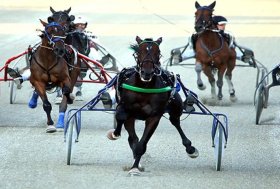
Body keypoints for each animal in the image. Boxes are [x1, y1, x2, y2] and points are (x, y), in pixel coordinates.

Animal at [106, 36, 199, 176]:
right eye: (139, 52)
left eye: (158, 52)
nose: (147, 72)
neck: (144, 87)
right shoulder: (128, 111)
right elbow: (123, 119)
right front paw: (115, 134)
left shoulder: (154, 116)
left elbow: (141, 144)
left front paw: (135, 167)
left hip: (175, 107)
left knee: (175, 122)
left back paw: (190, 148)